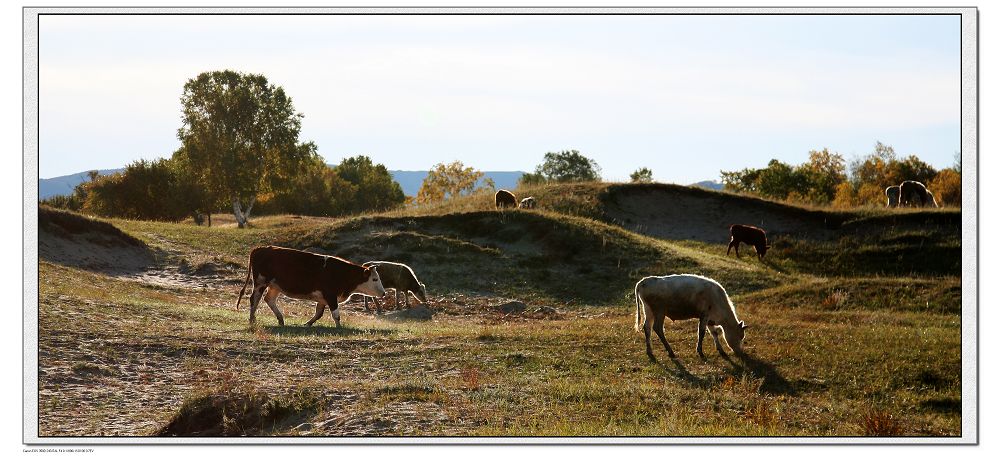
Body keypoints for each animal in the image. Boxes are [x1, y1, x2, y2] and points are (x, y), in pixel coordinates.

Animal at [237, 245, 386, 328]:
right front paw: (339, 327)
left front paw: (308, 323)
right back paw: (252, 319)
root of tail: (260, 249)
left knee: (269, 300)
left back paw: (280, 319)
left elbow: (319, 314)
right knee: (254, 299)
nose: (384, 293)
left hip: (274, 286)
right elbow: (336, 314)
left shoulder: (323, 299)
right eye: (375, 279)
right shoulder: (331, 296)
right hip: (261, 282)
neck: (342, 273)